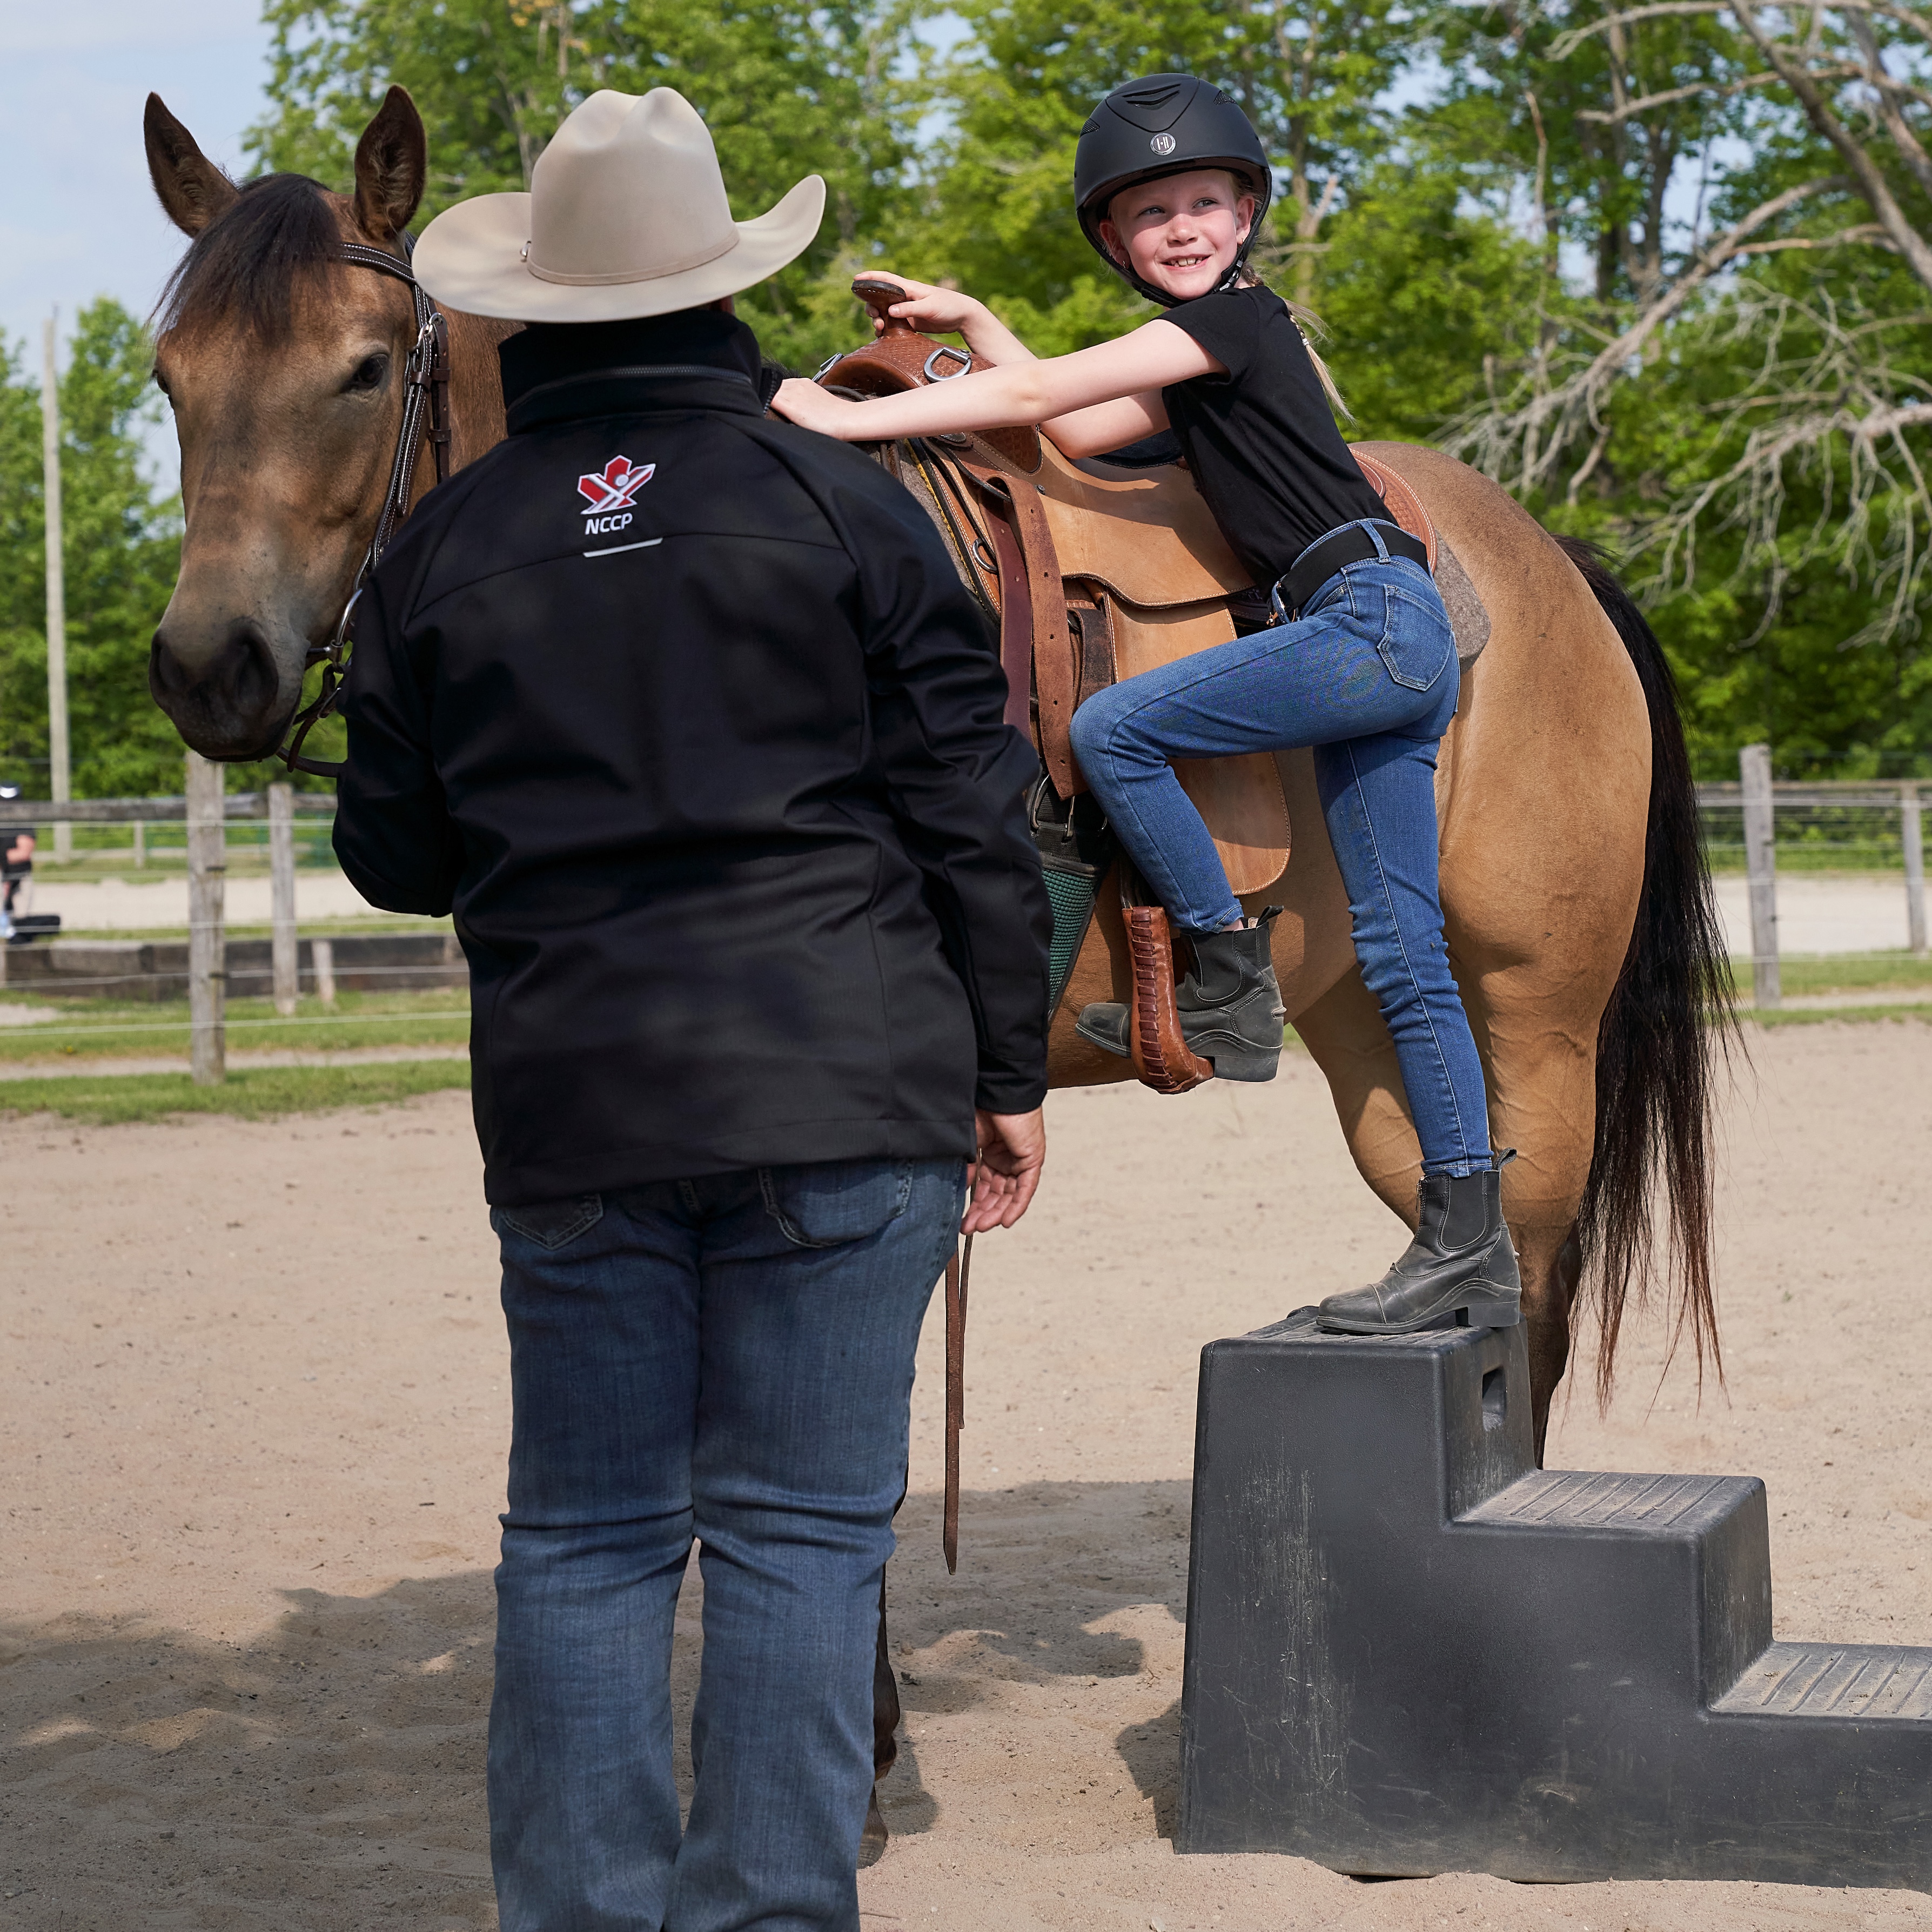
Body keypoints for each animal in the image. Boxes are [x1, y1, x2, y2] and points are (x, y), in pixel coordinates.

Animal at [143, 81, 1729, 1843]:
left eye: (362, 367)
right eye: (167, 379)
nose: (210, 667)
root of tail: (1548, 565)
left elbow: (831, 1419)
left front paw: (851, 1740)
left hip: (1534, 1013)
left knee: (1533, 1272)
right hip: (1380, 1037)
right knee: (1465, 1232)